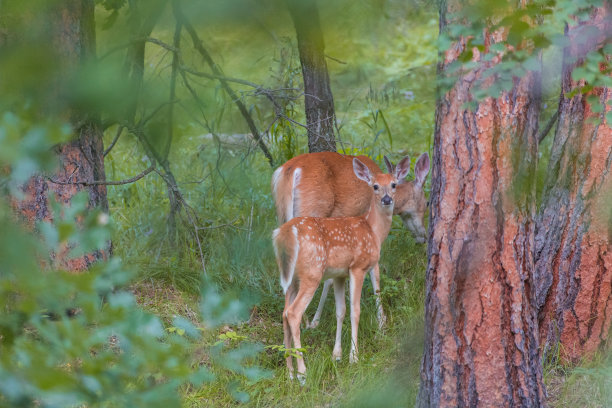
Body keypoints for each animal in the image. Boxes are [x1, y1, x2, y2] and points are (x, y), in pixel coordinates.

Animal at [270, 151, 428, 330]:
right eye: (427, 203)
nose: (423, 236)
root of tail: (289, 171)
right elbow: (373, 274)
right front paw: (382, 321)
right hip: (311, 210)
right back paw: (304, 321)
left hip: (282, 214)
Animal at [274, 156, 408, 382]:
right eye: (375, 186)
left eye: (394, 184)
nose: (387, 200)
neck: (373, 231)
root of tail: (286, 234)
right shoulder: (358, 266)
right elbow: (356, 308)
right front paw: (355, 355)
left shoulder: (339, 275)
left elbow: (341, 310)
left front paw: (337, 354)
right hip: (311, 273)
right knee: (293, 313)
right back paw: (303, 372)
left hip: (292, 278)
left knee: (284, 313)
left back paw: (290, 371)